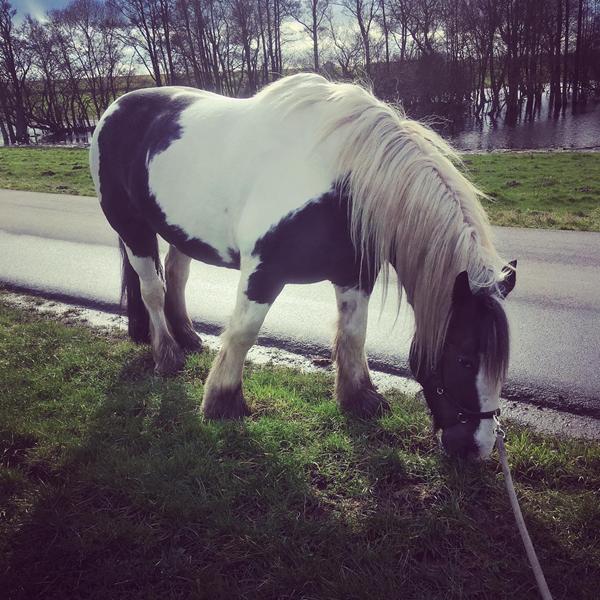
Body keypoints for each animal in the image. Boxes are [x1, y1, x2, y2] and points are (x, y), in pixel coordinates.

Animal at [89, 72, 516, 462]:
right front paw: (223, 403)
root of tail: (115, 106)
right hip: (132, 227)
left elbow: (353, 334)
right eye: (464, 359)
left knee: (176, 276)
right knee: (152, 289)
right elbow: (242, 333)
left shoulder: (354, 275)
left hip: (181, 232)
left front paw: (359, 398)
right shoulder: (263, 273)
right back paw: (167, 355)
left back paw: (188, 337)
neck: (342, 180)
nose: (477, 449)